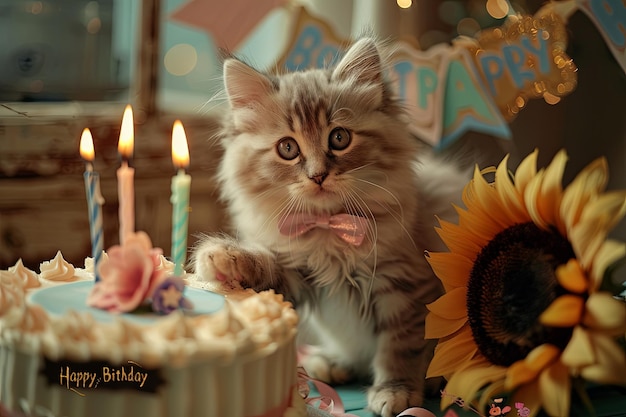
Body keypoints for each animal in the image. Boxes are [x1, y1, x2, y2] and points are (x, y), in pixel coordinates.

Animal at [193, 37, 466, 414]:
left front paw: (395, 390)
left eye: (339, 138)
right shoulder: (296, 272)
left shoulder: (406, 287)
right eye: (287, 148)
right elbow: (263, 264)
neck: (328, 234)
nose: (318, 175)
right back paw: (332, 363)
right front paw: (223, 258)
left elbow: (400, 347)